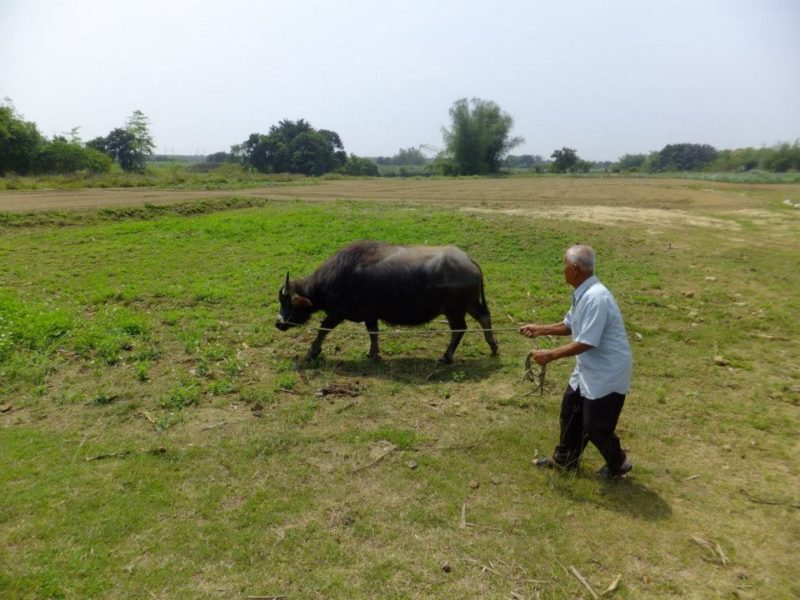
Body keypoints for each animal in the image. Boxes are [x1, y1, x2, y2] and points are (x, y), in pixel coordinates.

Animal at [276, 240, 499, 364]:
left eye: (287, 301)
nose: (278, 323)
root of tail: (468, 260)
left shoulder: (339, 312)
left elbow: (324, 329)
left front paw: (312, 352)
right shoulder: (370, 315)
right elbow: (373, 333)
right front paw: (373, 353)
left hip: (454, 310)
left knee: (459, 329)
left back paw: (446, 356)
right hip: (469, 304)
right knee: (484, 317)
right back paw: (493, 347)